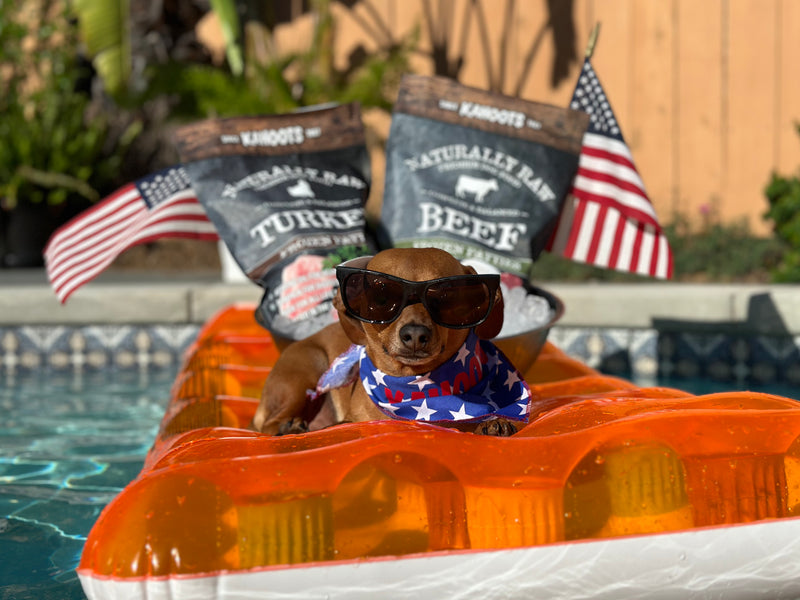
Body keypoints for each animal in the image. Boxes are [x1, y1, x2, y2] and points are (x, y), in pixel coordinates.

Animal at [252, 247, 524, 436]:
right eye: (381, 296)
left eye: (447, 296)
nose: (415, 334)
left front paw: (493, 422)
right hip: (306, 372)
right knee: (270, 425)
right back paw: (289, 427)